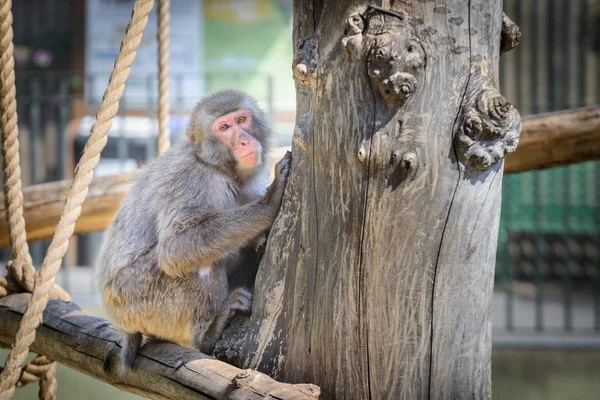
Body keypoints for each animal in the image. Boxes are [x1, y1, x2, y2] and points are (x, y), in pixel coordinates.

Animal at [96, 90, 290, 376]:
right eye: (224, 128)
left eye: (241, 120)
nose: (244, 140)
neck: (217, 167)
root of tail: (122, 324)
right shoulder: (191, 179)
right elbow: (175, 248)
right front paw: (269, 202)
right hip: (136, 301)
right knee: (200, 266)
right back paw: (207, 335)